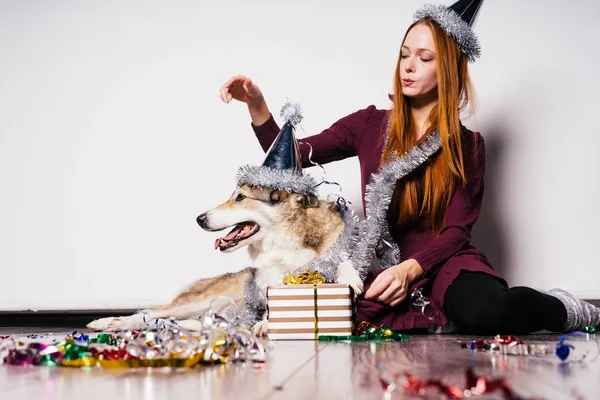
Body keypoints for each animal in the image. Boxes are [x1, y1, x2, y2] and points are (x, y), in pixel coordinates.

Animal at [86, 184, 364, 334]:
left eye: (240, 197)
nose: (199, 219)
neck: (286, 238)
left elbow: (344, 258)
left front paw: (351, 277)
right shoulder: (268, 275)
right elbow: (272, 292)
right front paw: (266, 323)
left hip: (204, 318)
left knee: (166, 320)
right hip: (197, 300)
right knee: (149, 312)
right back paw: (107, 322)